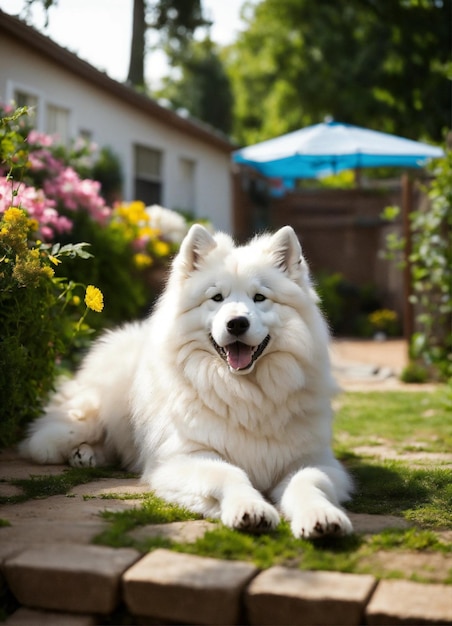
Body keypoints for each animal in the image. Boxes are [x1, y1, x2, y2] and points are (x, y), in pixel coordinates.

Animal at [21, 224, 354, 536]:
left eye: (260, 297)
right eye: (216, 298)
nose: (236, 324)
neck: (244, 392)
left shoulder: (312, 460)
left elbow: (307, 482)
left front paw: (321, 516)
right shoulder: (184, 459)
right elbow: (229, 474)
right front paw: (248, 509)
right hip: (83, 420)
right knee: (48, 440)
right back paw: (82, 451)